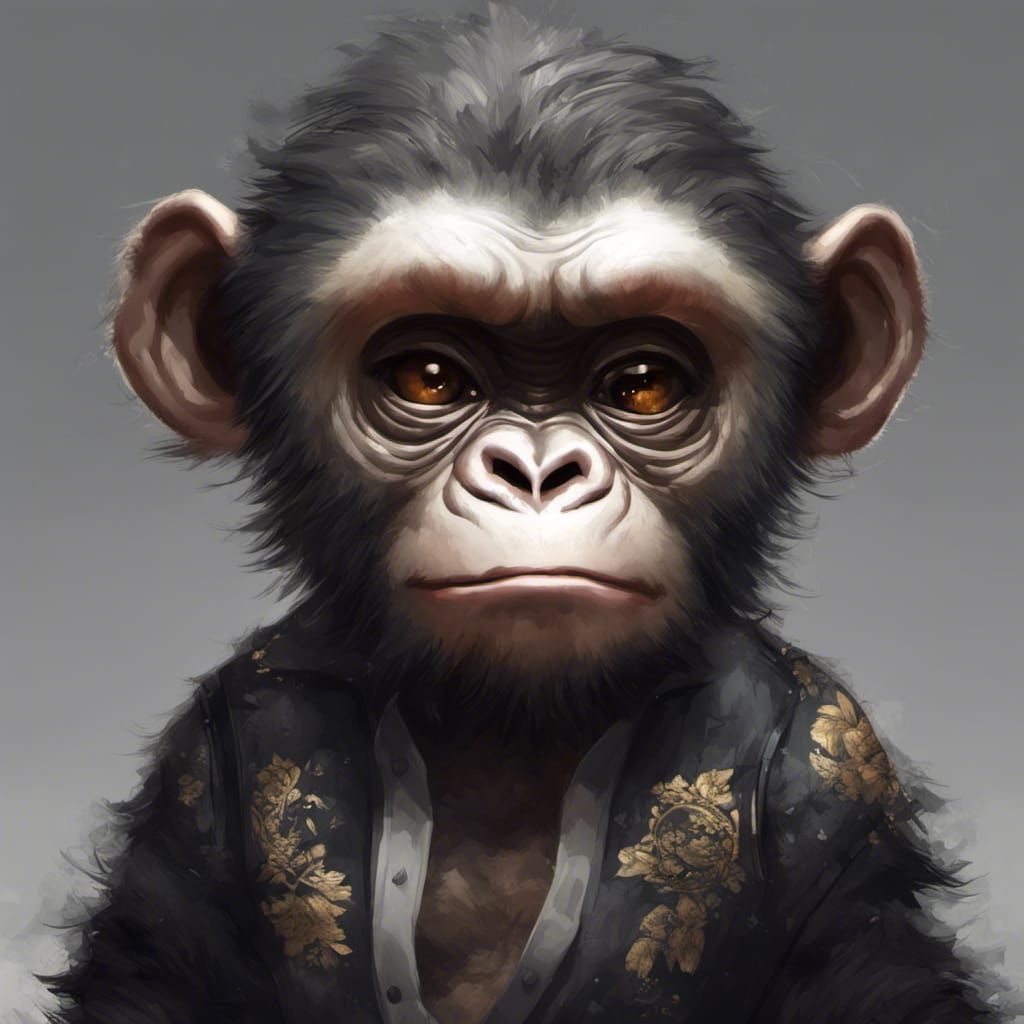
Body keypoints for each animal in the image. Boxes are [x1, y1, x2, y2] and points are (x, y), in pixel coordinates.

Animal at [46, 6, 1004, 1024]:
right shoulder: (206, 760)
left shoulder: (834, 768)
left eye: (643, 382)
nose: (539, 472)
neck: (512, 736)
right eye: (429, 376)